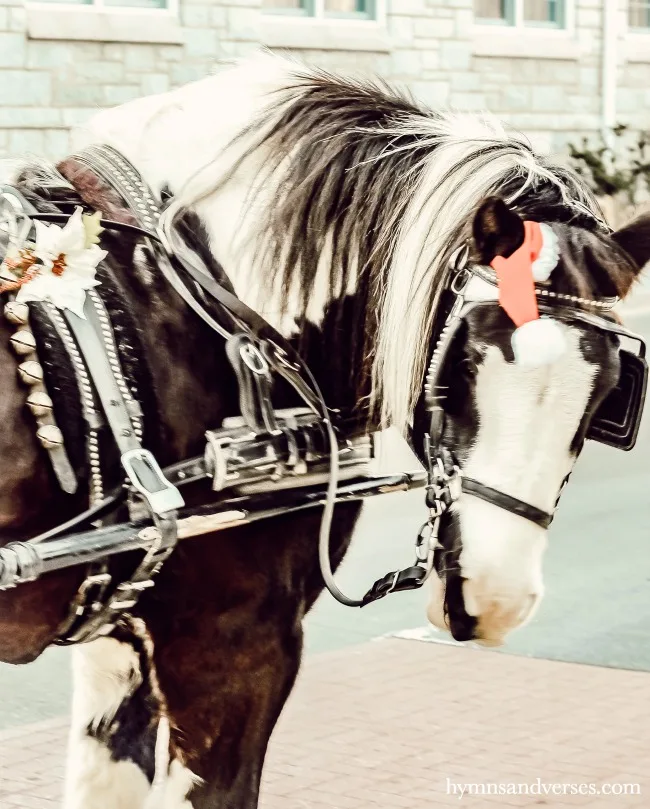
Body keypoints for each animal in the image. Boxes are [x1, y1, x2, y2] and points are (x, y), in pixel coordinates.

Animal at [1, 52, 648, 808]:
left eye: (608, 394)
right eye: (464, 358)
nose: (496, 600)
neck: (203, 293)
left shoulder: (117, 635)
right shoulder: (235, 648)